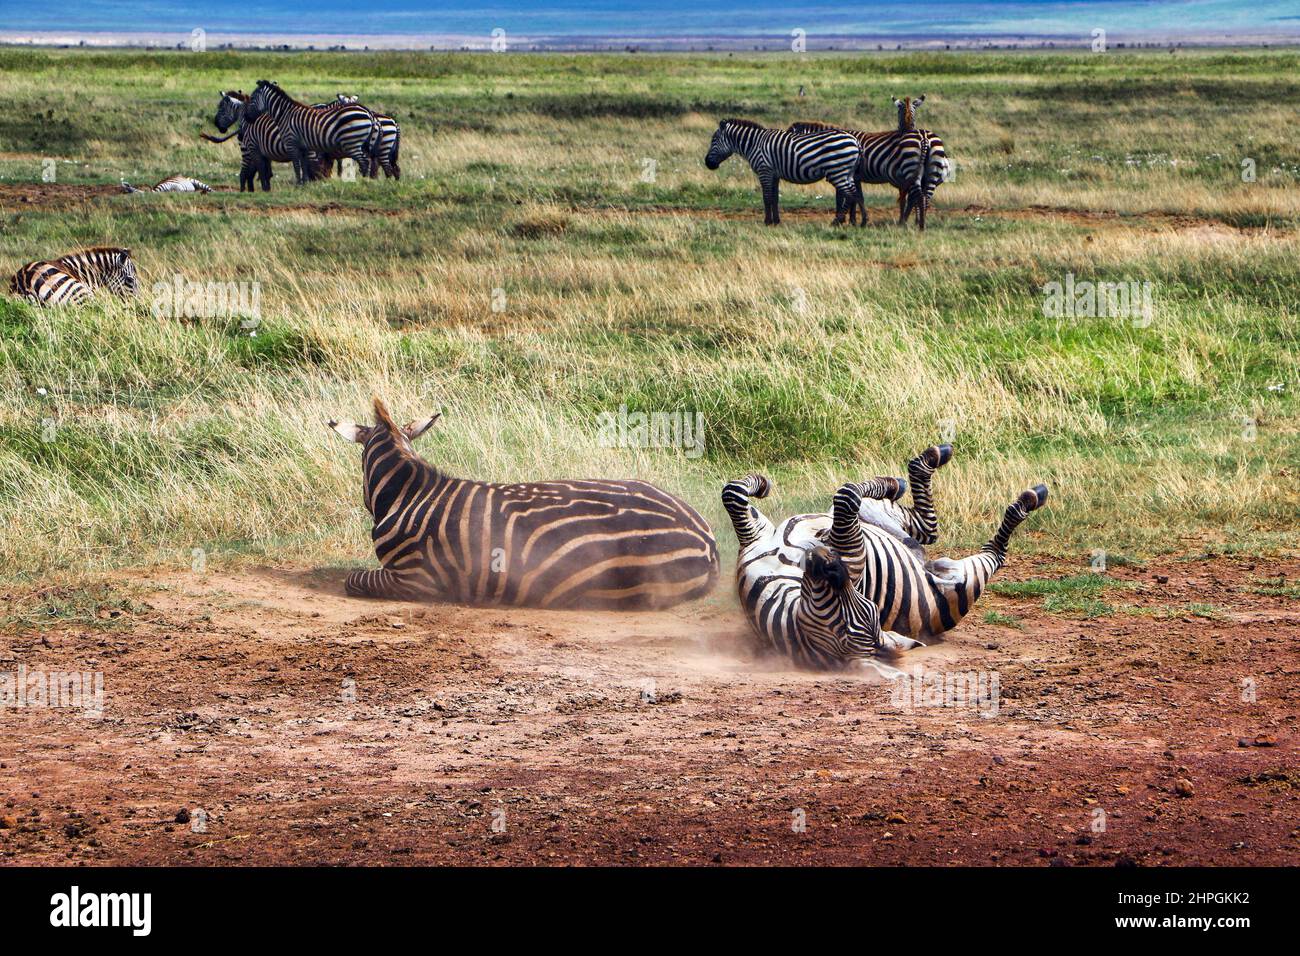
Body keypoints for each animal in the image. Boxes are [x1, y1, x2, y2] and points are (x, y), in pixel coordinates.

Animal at [244, 79, 379, 184]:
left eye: (252, 98)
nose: (246, 117)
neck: (285, 114)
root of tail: (368, 112)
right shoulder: (304, 147)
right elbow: (304, 166)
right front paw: (305, 183)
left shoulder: (291, 144)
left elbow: (296, 166)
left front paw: (299, 184)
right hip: (360, 143)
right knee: (366, 161)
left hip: (352, 142)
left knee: (364, 161)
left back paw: (364, 181)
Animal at [702, 117, 863, 225]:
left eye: (714, 140)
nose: (707, 163)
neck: (755, 144)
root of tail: (855, 141)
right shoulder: (774, 174)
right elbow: (775, 198)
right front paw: (776, 221)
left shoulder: (764, 170)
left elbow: (766, 197)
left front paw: (767, 221)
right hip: (847, 172)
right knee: (855, 194)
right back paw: (862, 221)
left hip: (838, 171)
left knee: (850, 194)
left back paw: (840, 221)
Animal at [728, 447, 1050, 676]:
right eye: (843, 620)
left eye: (867, 605)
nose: (823, 555)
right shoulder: (847, 551)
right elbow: (844, 497)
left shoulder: (758, 534)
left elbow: (733, 492)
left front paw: (761, 484)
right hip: (963, 580)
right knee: (981, 548)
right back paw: (1028, 498)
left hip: (887, 520)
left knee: (912, 523)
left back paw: (908, 474)